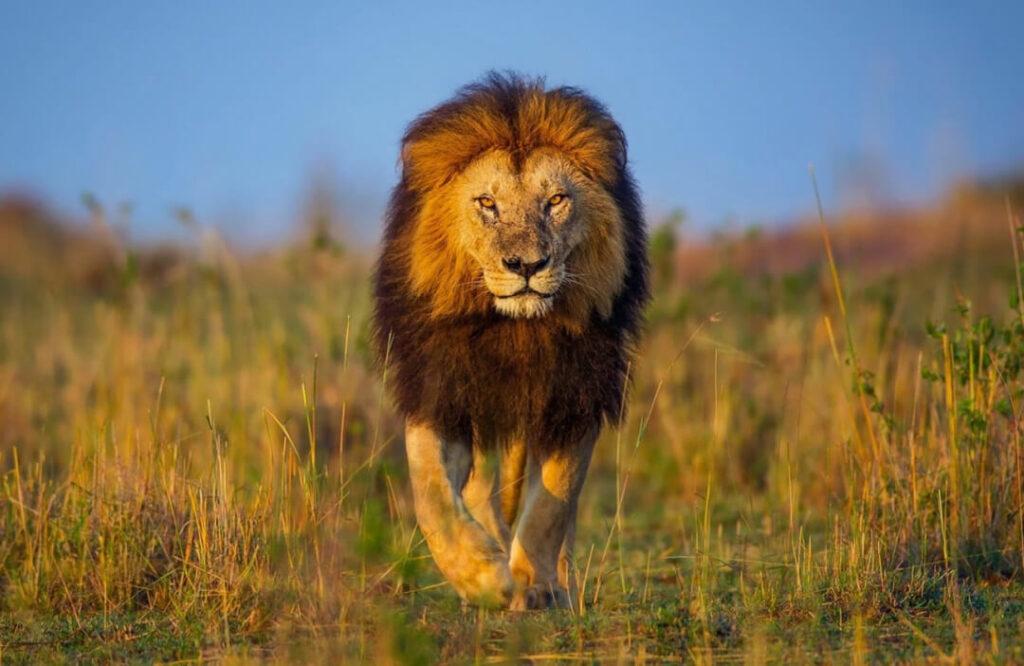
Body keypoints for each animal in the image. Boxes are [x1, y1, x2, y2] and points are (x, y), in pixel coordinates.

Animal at [372, 73, 649, 610]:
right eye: (487, 203)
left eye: (556, 200)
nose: (526, 266)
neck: (515, 330)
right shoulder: (442, 391)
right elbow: (431, 494)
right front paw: (483, 577)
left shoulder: (574, 395)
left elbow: (552, 504)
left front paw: (534, 583)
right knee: (480, 489)